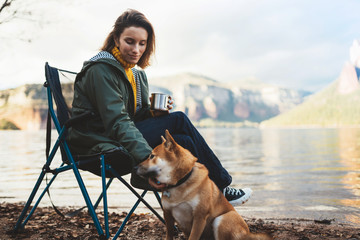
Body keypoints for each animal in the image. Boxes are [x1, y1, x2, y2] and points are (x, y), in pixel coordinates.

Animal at [136, 130, 272, 239]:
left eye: (152, 156)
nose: (134, 167)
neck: (180, 182)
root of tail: (247, 233)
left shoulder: (199, 217)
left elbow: (193, 237)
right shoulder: (168, 215)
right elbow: (169, 235)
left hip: (221, 219)